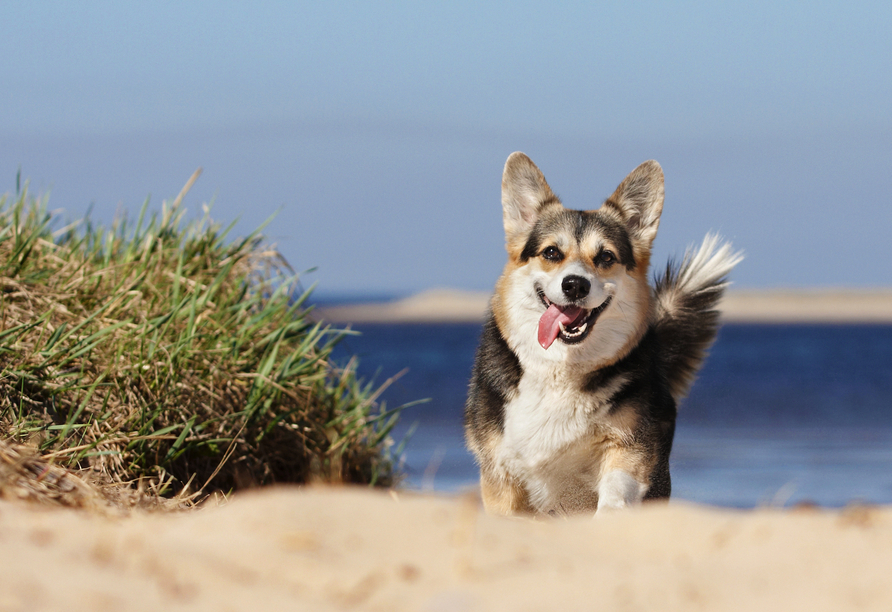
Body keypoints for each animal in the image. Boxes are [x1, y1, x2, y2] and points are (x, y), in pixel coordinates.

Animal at [464, 153, 744, 516]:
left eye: (606, 257)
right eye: (551, 253)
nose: (575, 285)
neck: (562, 371)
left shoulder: (629, 449)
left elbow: (614, 494)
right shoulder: (501, 475)